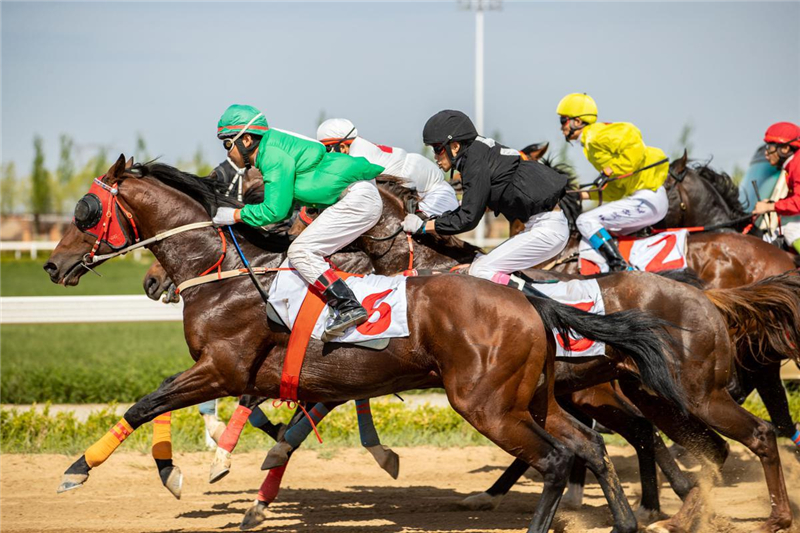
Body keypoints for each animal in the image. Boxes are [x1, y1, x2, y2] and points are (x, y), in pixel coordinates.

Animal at [42, 157, 688, 532]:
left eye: (85, 210)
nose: (52, 265)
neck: (227, 273)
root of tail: (531, 299)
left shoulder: (223, 367)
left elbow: (150, 400)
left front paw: (79, 470)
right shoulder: (261, 375)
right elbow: (222, 415)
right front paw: (203, 473)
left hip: (489, 404)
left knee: (563, 457)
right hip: (537, 398)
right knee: (588, 445)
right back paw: (630, 518)